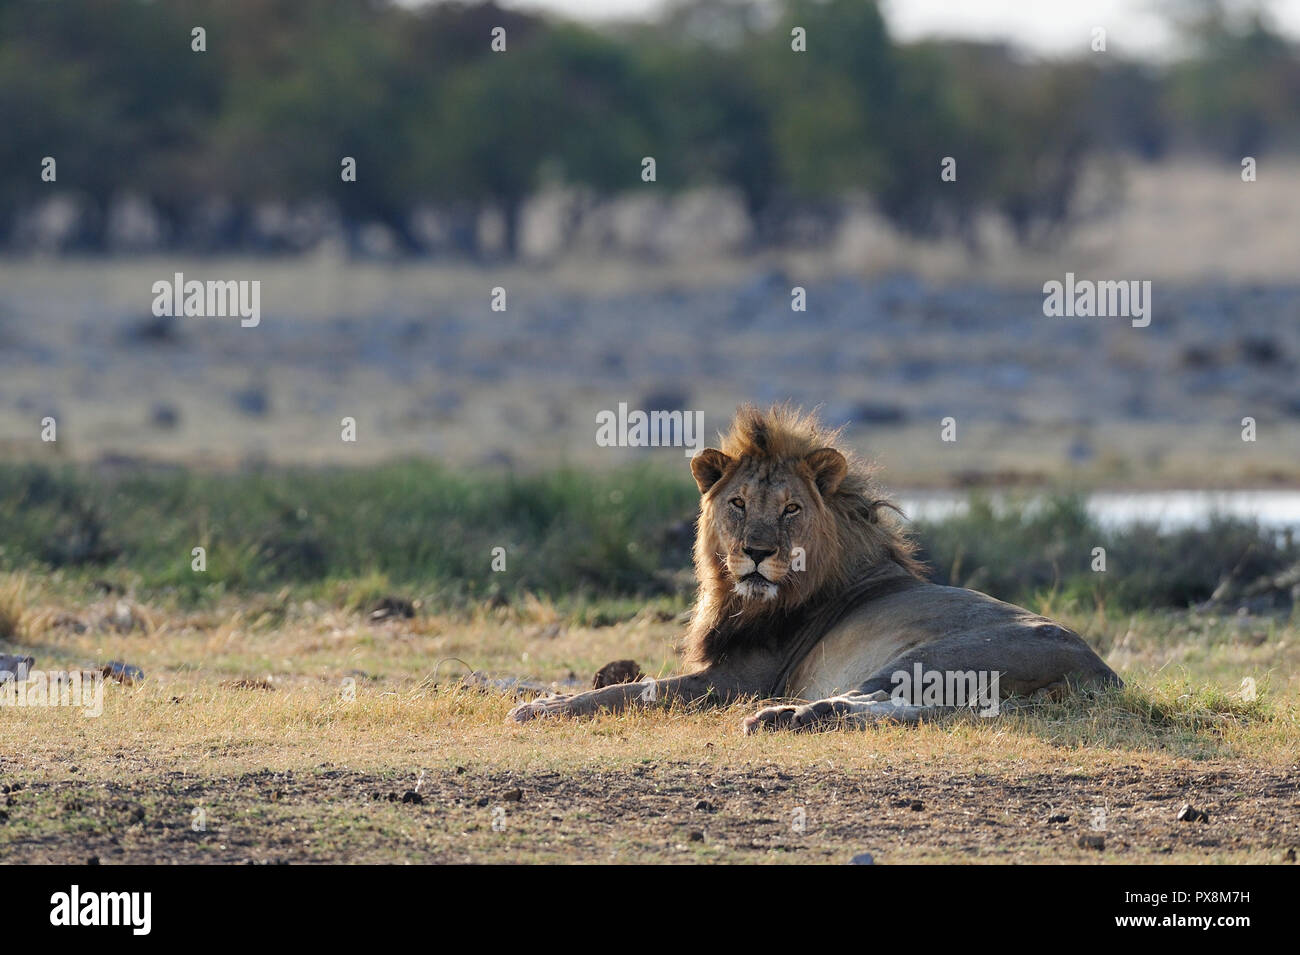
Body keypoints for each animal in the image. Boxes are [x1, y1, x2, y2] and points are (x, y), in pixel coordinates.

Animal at [506, 402, 1118, 732]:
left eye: (791, 509)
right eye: (738, 503)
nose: (757, 552)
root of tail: (1102, 673)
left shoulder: (736, 679)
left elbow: (632, 691)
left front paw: (543, 706)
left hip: (940, 653)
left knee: (881, 700)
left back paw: (783, 716)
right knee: (913, 711)